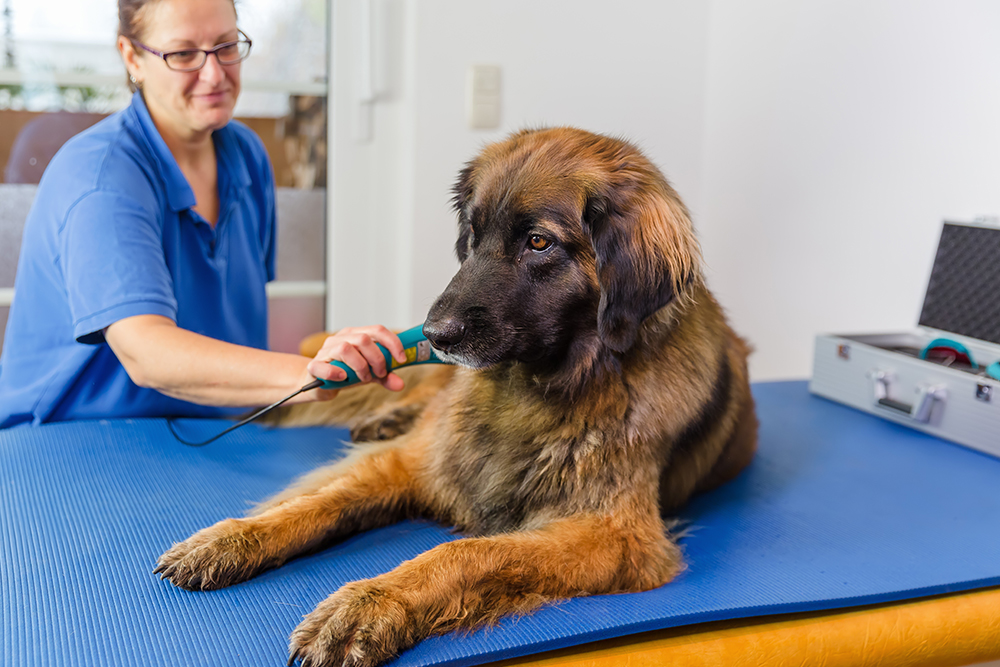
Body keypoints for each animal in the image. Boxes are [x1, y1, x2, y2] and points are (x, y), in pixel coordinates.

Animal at [154, 128, 756, 664]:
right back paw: (388, 417)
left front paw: (370, 603)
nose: (435, 335)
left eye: (538, 242)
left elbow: (466, 551)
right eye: (472, 233)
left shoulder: (614, 535)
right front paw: (232, 539)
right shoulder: (417, 462)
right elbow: (320, 501)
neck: (535, 387)